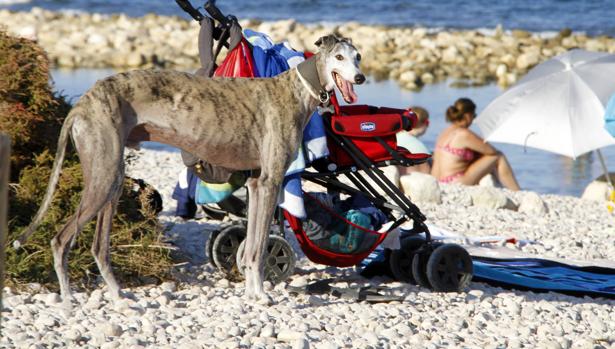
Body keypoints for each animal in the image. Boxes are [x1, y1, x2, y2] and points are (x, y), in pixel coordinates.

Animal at [14, 34, 366, 304]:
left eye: (358, 57)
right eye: (338, 57)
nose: (360, 78)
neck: (294, 89)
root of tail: (82, 104)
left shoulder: (256, 183)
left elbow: (251, 245)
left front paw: (252, 294)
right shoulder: (270, 181)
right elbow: (257, 249)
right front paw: (262, 296)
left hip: (111, 178)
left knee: (99, 246)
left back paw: (118, 296)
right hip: (103, 175)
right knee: (61, 240)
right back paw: (68, 300)